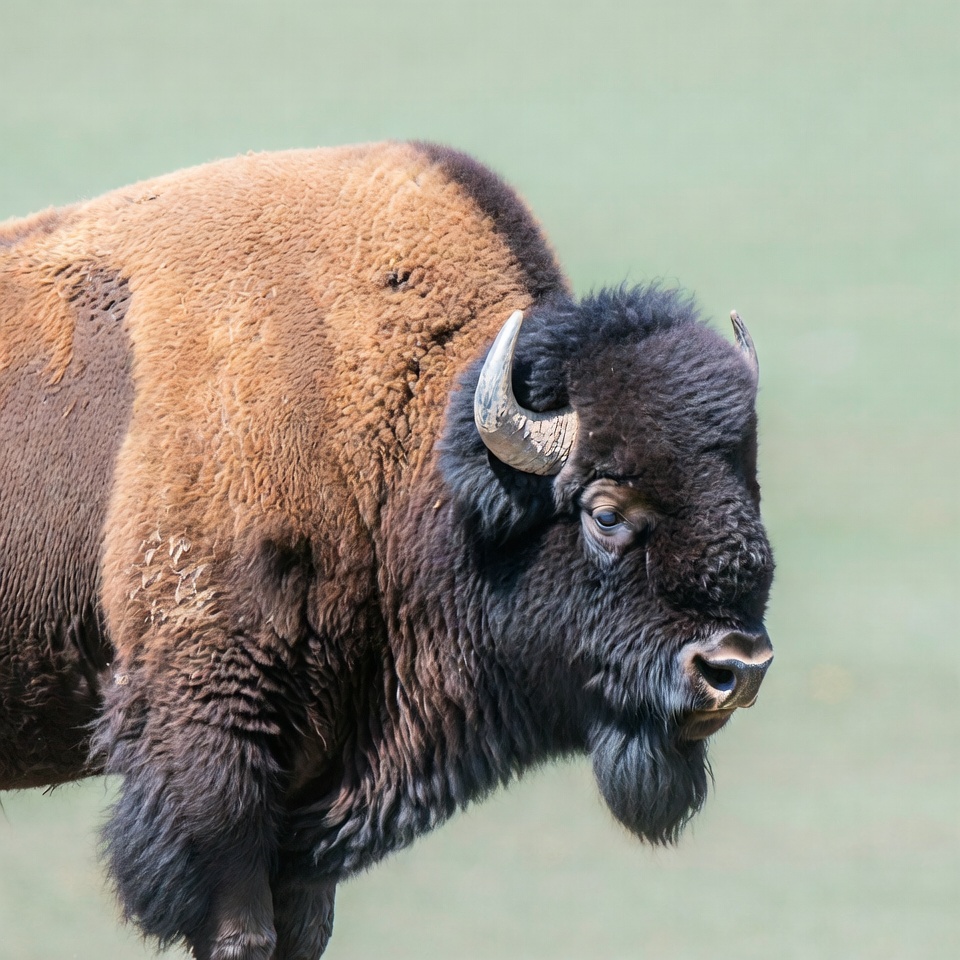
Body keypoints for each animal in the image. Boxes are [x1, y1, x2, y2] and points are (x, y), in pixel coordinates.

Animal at [0, 142, 774, 959]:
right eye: (604, 512)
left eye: (749, 488)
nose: (736, 667)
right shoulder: (214, 752)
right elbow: (239, 922)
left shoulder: (311, 797)